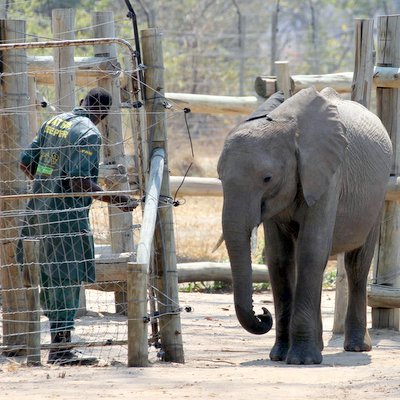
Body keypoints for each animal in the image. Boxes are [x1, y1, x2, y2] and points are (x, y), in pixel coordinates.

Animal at [217, 87, 392, 366]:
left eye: (267, 178)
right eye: (219, 177)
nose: (263, 313)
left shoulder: (329, 174)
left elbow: (312, 251)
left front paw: (301, 361)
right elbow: (279, 259)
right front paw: (279, 356)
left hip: (378, 197)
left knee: (357, 264)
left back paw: (356, 348)